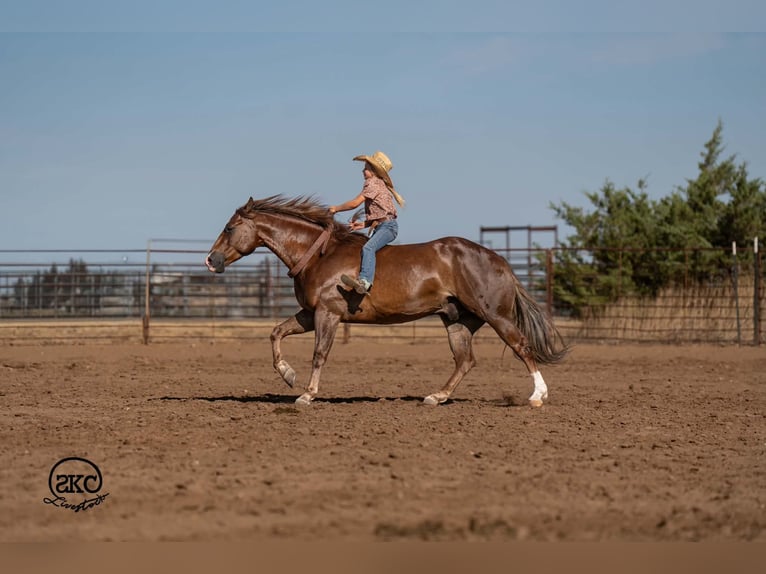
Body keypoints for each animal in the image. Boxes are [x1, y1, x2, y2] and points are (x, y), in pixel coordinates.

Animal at [205, 195, 568, 407]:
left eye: (229, 227)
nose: (211, 260)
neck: (318, 255)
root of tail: (500, 261)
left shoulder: (327, 314)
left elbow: (319, 354)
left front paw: (307, 394)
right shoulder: (309, 314)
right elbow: (276, 333)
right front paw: (288, 375)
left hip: (496, 315)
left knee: (522, 346)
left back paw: (538, 396)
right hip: (457, 320)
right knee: (465, 360)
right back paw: (436, 396)